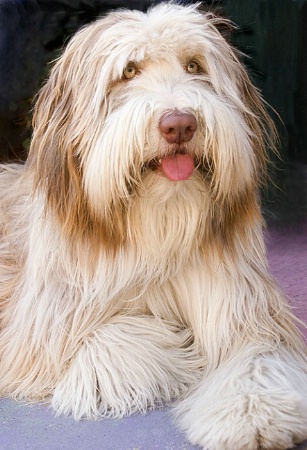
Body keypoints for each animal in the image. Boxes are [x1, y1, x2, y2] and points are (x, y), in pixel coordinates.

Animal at [0, 3, 307, 450]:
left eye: (194, 65)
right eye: (128, 71)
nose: (179, 124)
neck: (160, 224)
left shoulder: (242, 306)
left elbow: (258, 356)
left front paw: (253, 415)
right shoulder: (39, 334)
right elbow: (111, 338)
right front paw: (181, 349)